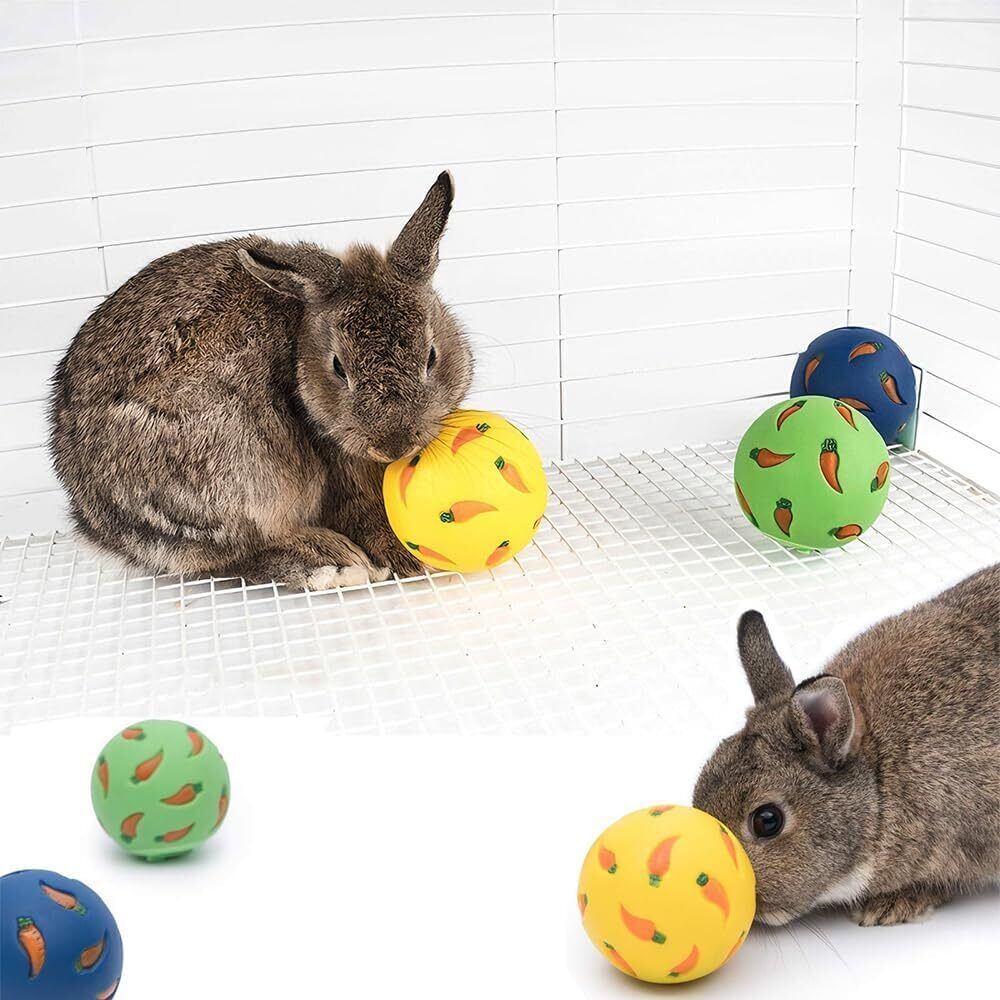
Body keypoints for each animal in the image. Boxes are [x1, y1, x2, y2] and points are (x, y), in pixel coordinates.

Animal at [49, 171, 473, 590]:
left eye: (431, 356)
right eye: (338, 366)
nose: (393, 444)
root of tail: (100, 521)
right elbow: (362, 511)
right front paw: (404, 557)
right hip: (239, 468)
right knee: (239, 554)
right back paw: (331, 561)